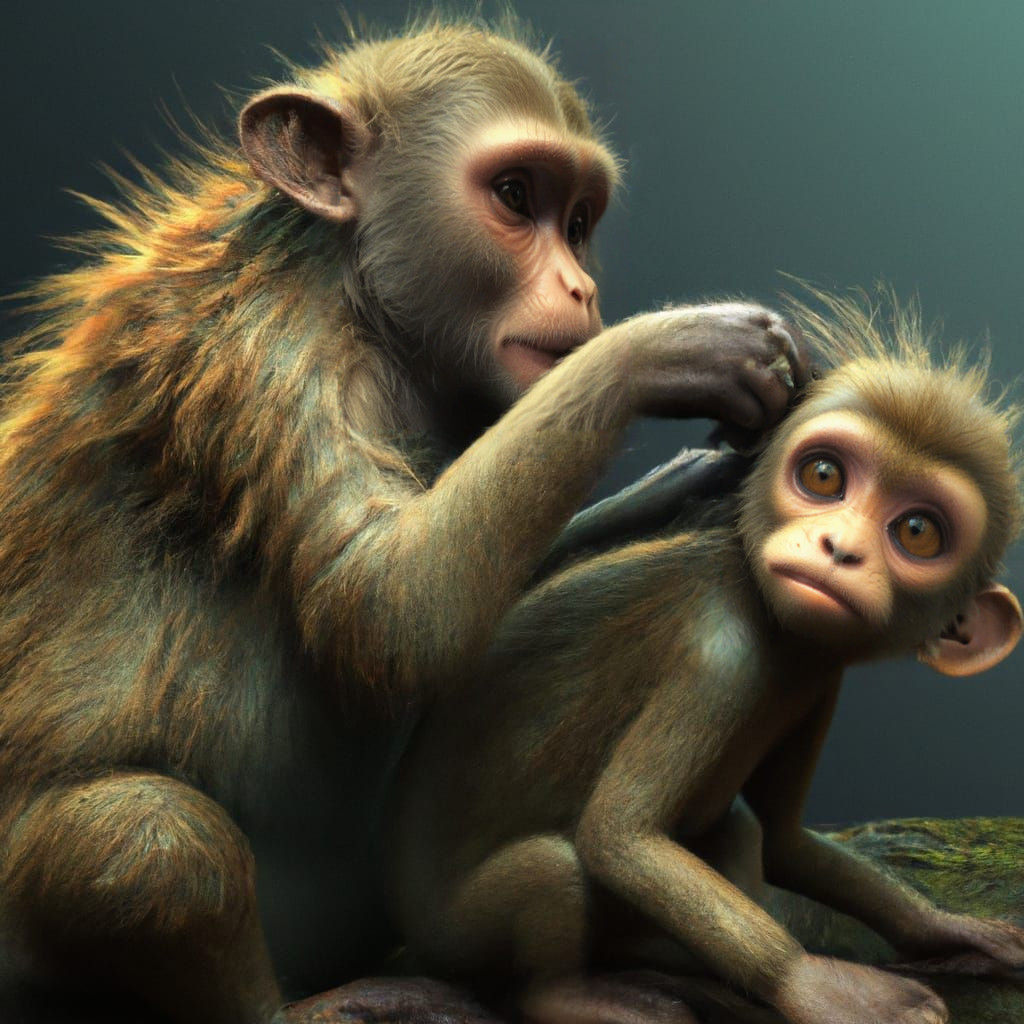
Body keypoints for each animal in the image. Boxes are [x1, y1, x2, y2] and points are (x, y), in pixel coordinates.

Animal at [0, 15, 811, 1024]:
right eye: (516, 197)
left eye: (580, 221)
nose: (581, 287)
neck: (359, 289)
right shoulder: (278, 355)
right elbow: (389, 608)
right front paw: (670, 348)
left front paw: (684, 479)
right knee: (148, 843)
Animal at [388, 293, 1024, 1024]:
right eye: (824, 476)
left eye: (917, 531)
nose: (839, 549)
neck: (772, 624)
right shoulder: (720, 651)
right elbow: (621, 839)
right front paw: (815, 985)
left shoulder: (821, 676)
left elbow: (784, 840)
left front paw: (948, 929)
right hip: (456, 935)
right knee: (550, 871)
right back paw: (574, 994)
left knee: (739, 830)